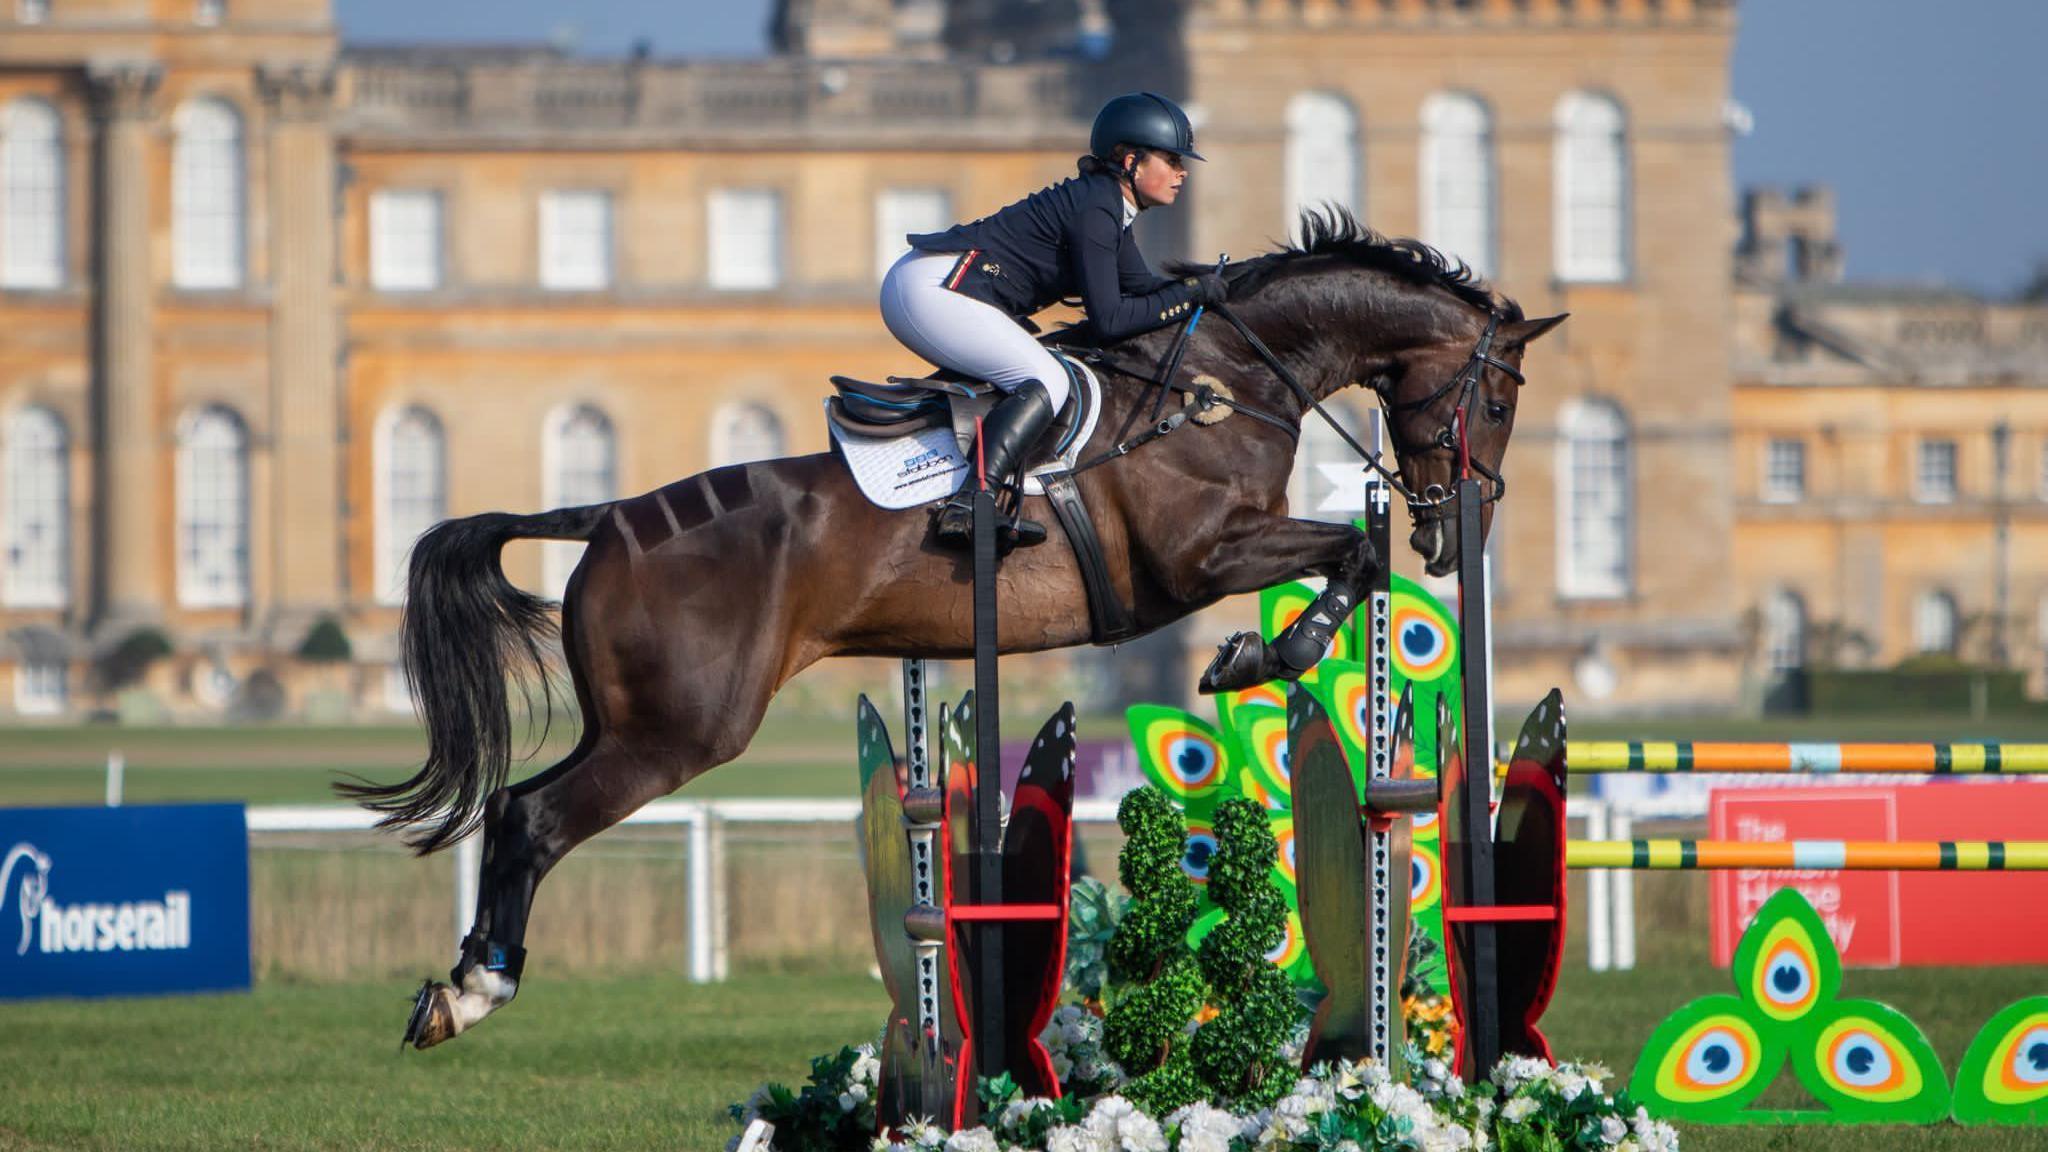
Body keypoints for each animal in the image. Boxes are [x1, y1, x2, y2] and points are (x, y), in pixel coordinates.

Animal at [344, 211, 1565, 1048]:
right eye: (1500, 400)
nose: (1455, 531)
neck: (1225, 382)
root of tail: (604, 519)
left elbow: (1351, 555)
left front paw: (1266, 648)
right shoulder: (1192, 561)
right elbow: (1348, 552)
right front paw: (1265, 653)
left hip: (637, 721)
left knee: (514, 809)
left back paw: (457, 987)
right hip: (683, 731)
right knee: (536, 819)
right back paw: (476, 990)